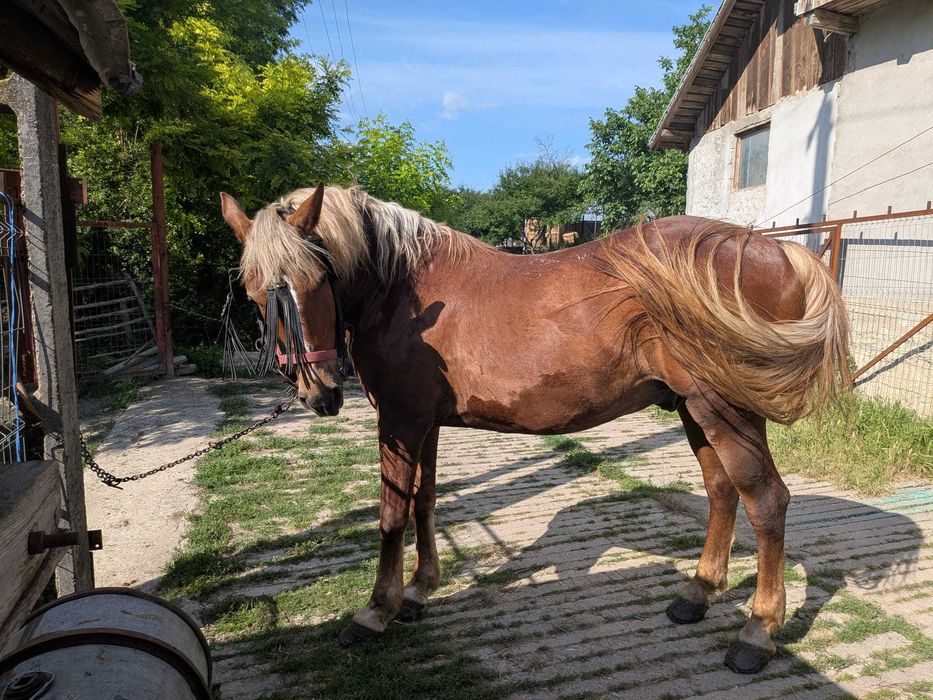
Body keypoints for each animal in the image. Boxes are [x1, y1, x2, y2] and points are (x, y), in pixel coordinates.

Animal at [219, 183, 849, 674]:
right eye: (253, 292)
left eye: (316, 280)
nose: (319, 393)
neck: (403, 288)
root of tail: (776, 250)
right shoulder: (425, 423)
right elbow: (425, 501)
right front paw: (421, 589)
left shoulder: (398, 421)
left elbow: (391, 514)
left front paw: (377, 610)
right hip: (695, 410)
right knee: (722, 492)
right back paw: (696, 594)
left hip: (726, 411)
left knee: (765, 502)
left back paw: (757, 632)